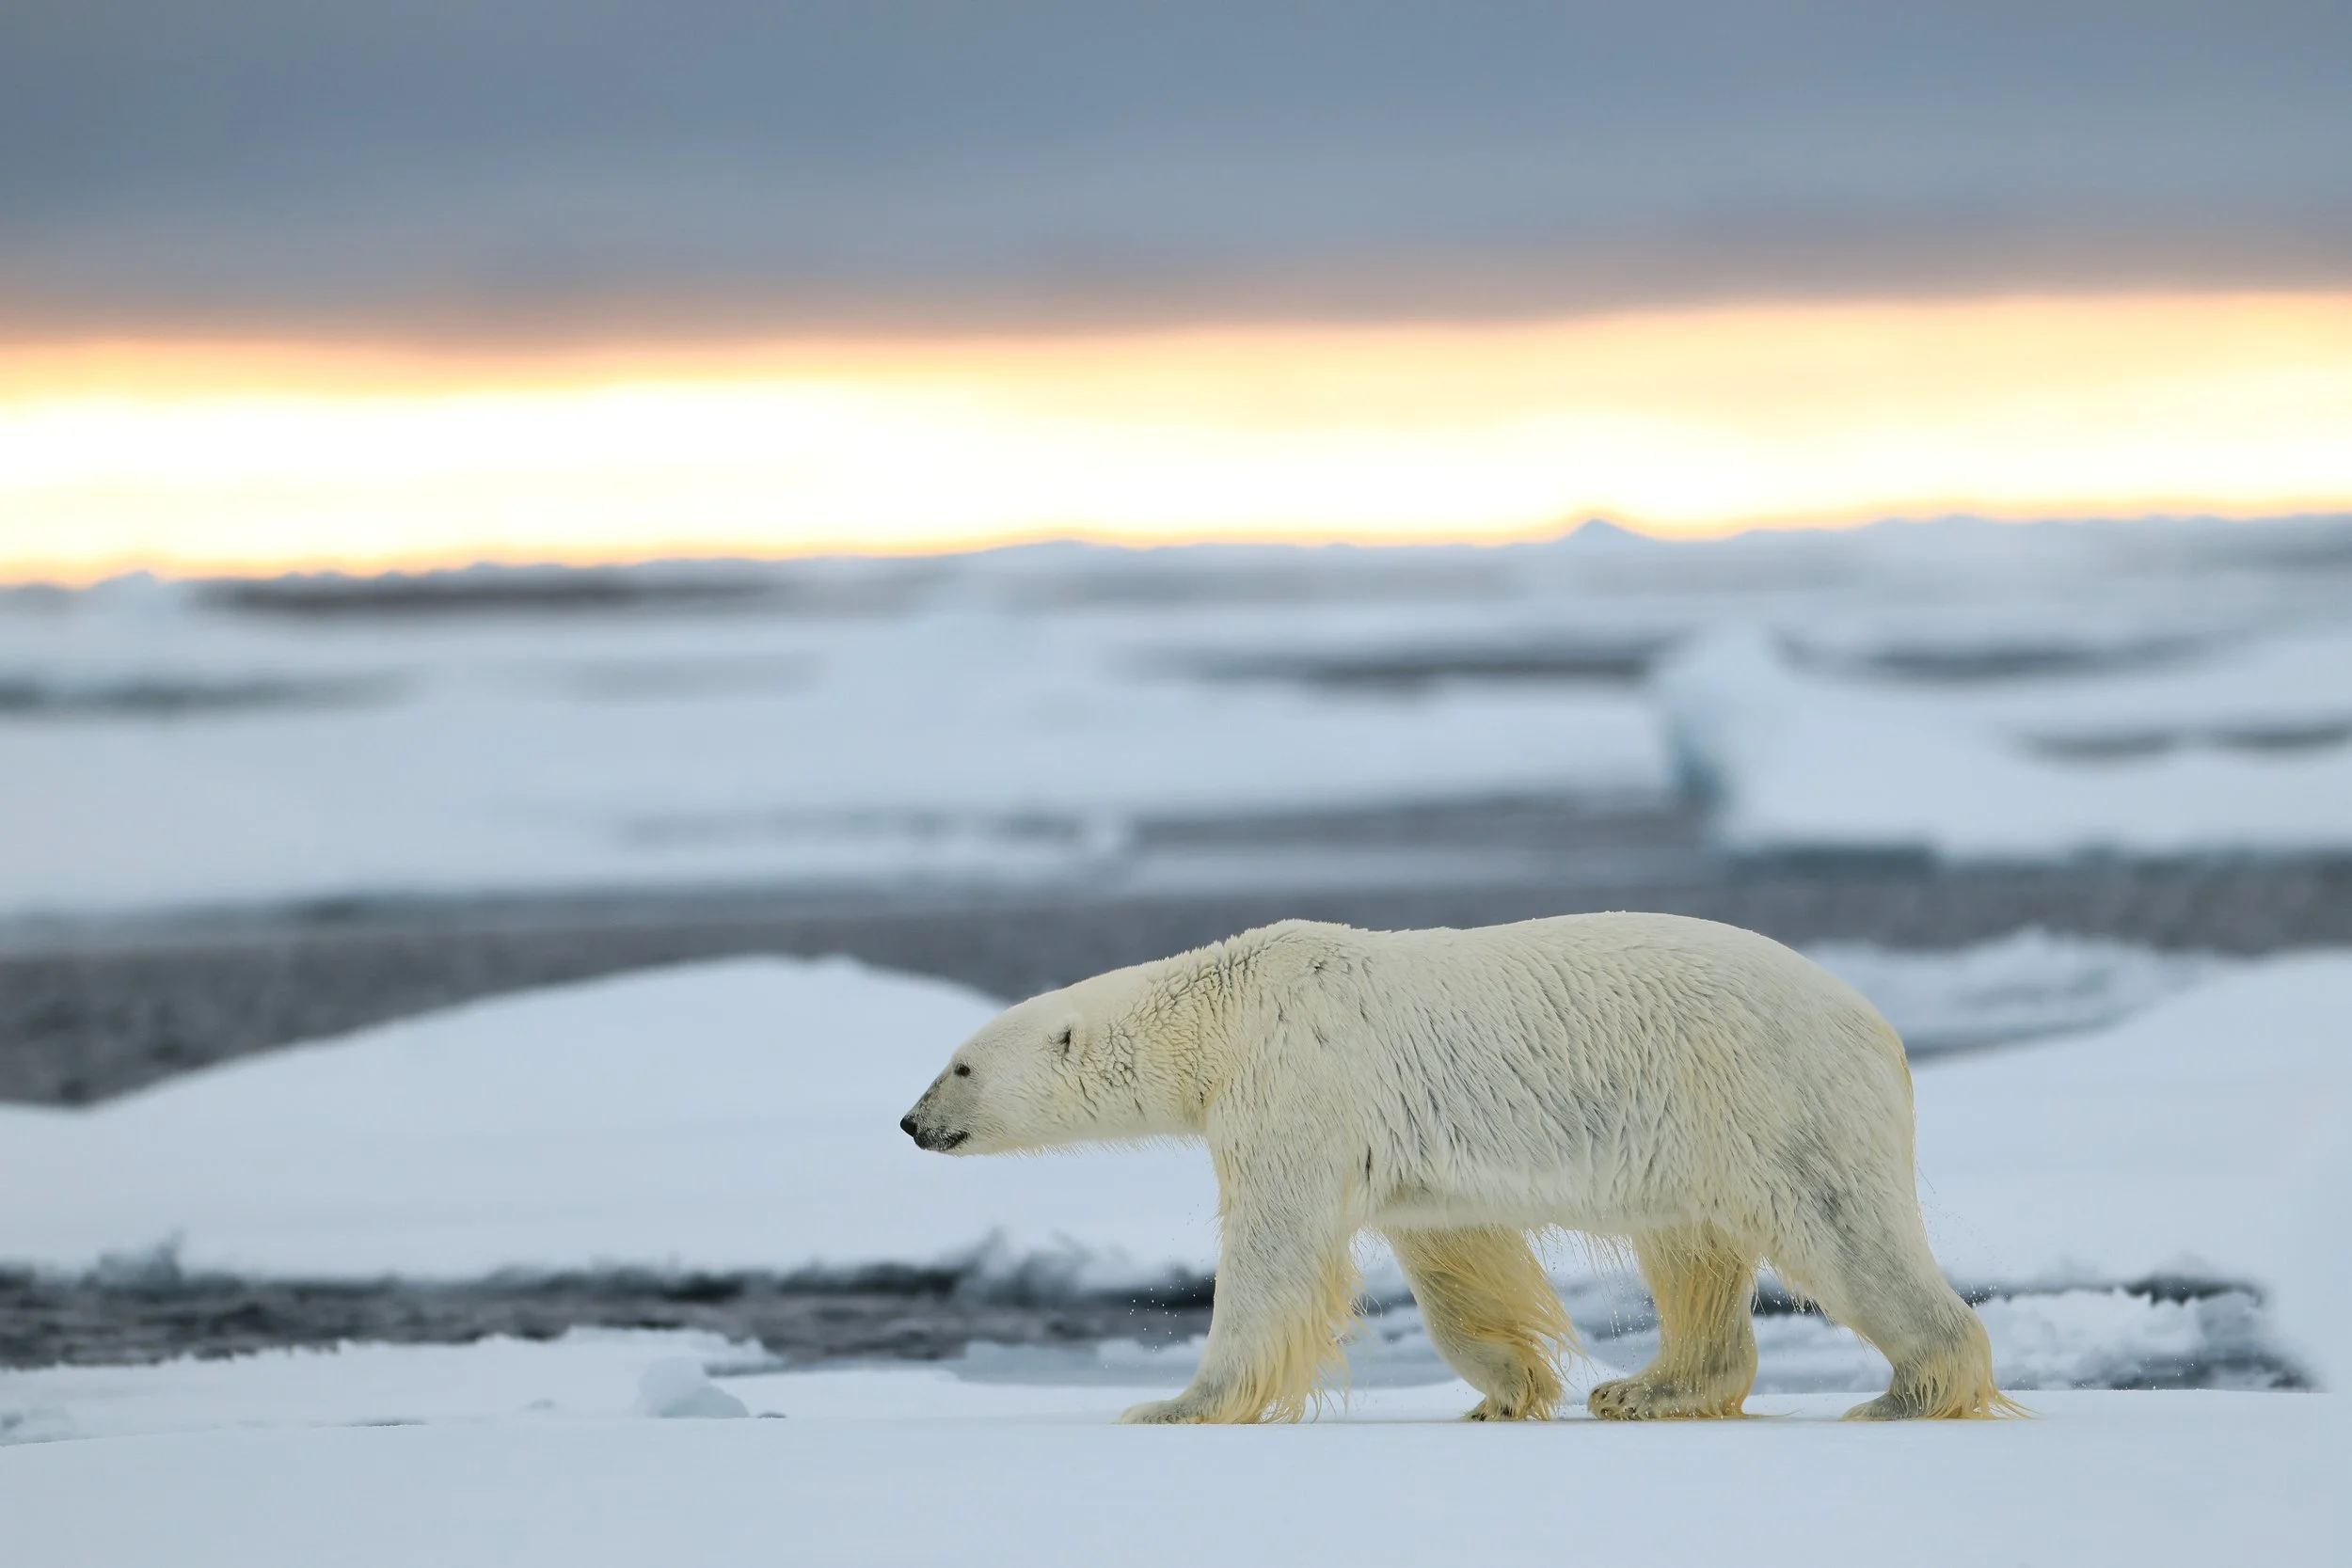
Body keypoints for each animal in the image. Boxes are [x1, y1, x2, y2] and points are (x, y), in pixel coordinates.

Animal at [900, 912, 2018, 1425]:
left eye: (960, 1063)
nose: (911, 1121)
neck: (1227, 1011)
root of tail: (1882, 1028)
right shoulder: (1399, 1149)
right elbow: (1453, 1255)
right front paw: (1508, 1389)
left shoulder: (1296, 1084)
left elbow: (1273, 1253)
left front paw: (1174, 1403)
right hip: (1702, 1132)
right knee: (1689, 1252)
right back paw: (1645, 1388)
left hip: (1773, 1095)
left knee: (1845, 1235)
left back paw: (1908, 1391)